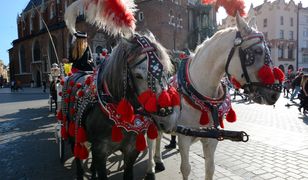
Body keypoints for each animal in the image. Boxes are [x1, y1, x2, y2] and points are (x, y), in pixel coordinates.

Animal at [146, 13, 282, 180]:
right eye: (257, 51)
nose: (275, 93)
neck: (201, 97)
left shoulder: (212, 139)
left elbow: (210, 168)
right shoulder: (184, 138)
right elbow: (186, 168)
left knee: (158, 137)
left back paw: (159, 160)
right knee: (151, 141)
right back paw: (151, 168)